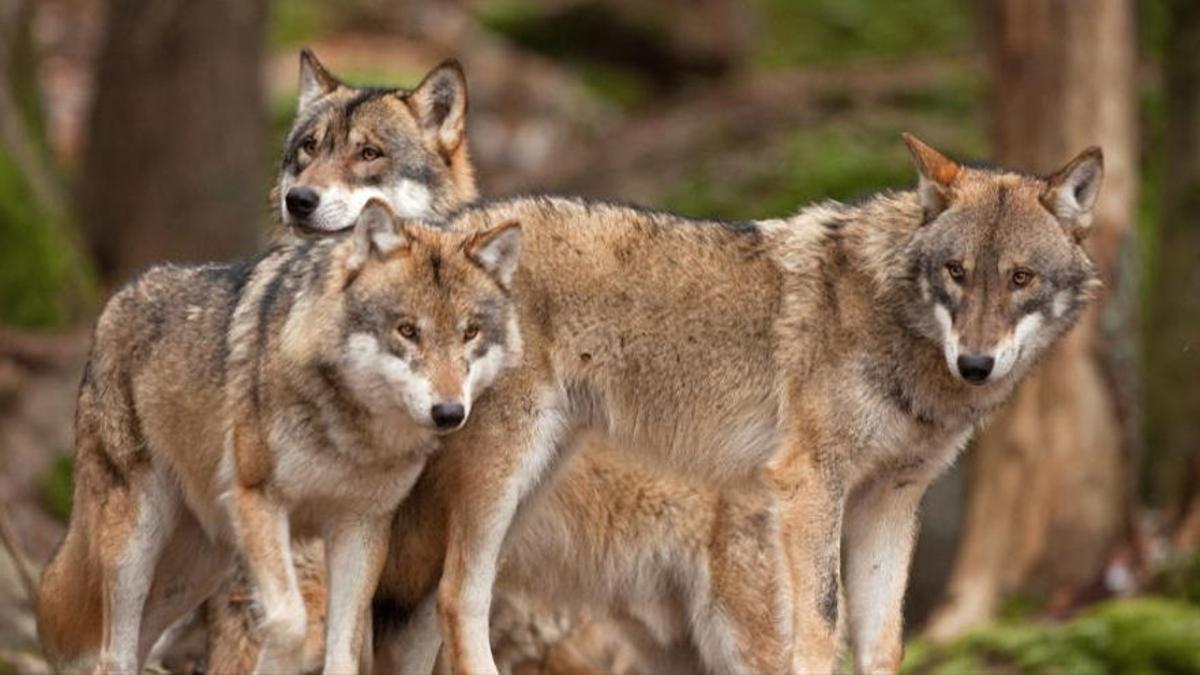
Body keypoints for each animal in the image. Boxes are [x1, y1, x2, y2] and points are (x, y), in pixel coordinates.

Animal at [35, 200, 522, 674]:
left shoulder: (361, 526)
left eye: (470, 332)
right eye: (407, 330)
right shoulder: (259, 499)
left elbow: (341, 652)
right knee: (111, 654)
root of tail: (117, 297)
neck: (353, 435)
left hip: (197, 569)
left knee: (139, 645)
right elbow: (290, 623)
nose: (449, 412)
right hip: (137, 544)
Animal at [393, 135, 1103, 675]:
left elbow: (883, 646)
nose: (976, 365)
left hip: (529, 488)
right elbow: (820, 629)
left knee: (429, 607)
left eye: (1020, 278)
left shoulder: (890, 502)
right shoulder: (809, 486)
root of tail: (433, 230)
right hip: (505, 480)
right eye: (956, 271)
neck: (897, 328)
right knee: (459, 598)